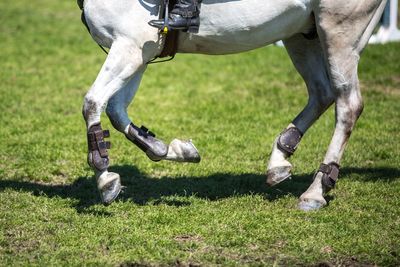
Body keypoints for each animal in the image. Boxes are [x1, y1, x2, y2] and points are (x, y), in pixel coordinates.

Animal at [79, 0, 390, 210]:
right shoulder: (138, 51)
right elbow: (114, 110)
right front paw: (169, 149)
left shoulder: (128, 47)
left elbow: (92, 103)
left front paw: (105, 180)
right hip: (302, 34)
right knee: (322, 92)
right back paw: (279, 159)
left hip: (339, 32)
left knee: (348, 105)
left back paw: (316, 191)